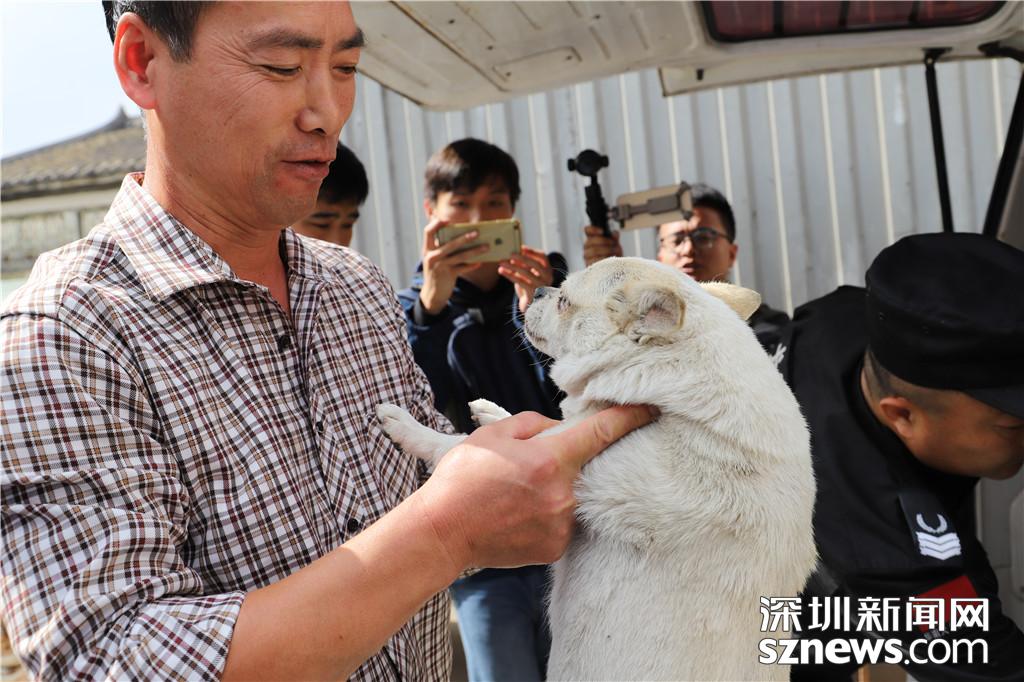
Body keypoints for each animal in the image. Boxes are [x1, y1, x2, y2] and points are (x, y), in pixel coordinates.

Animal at [378, 257, 816, 681]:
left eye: (564, 301)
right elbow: (536, 425)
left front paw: (406, 425)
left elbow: (456, 447)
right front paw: (492, 414)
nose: (539, 289)